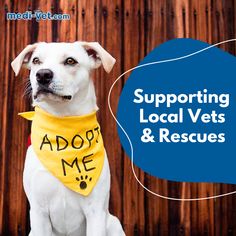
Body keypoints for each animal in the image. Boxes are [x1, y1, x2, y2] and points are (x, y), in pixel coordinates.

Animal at [11, 42, 125, 236]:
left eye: (70, 61)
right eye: (36, 61)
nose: (42, 74)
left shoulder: (95, 211)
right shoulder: (39, 212)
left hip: (113, 223)